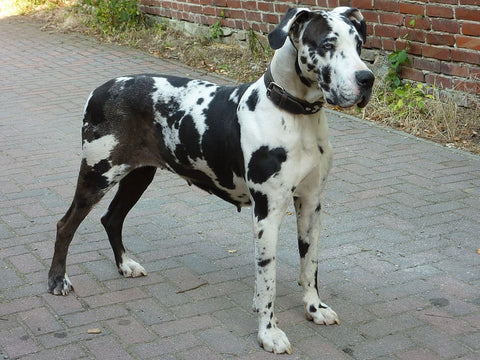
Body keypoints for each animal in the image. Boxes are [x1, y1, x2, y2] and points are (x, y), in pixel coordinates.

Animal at [49, 7, 376, 352]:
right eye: (327, 44)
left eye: (359, 44)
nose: (367, 79)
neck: (295, 114)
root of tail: (100, 89)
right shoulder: (267, 212)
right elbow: (268, 280)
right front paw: (269, 332)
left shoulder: (312, 204)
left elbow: (309, 265)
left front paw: (314, 308)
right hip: (97, 174)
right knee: (65, 225)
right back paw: (58, 280)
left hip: (138, 175)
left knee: (111, 218)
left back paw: (125, 265)